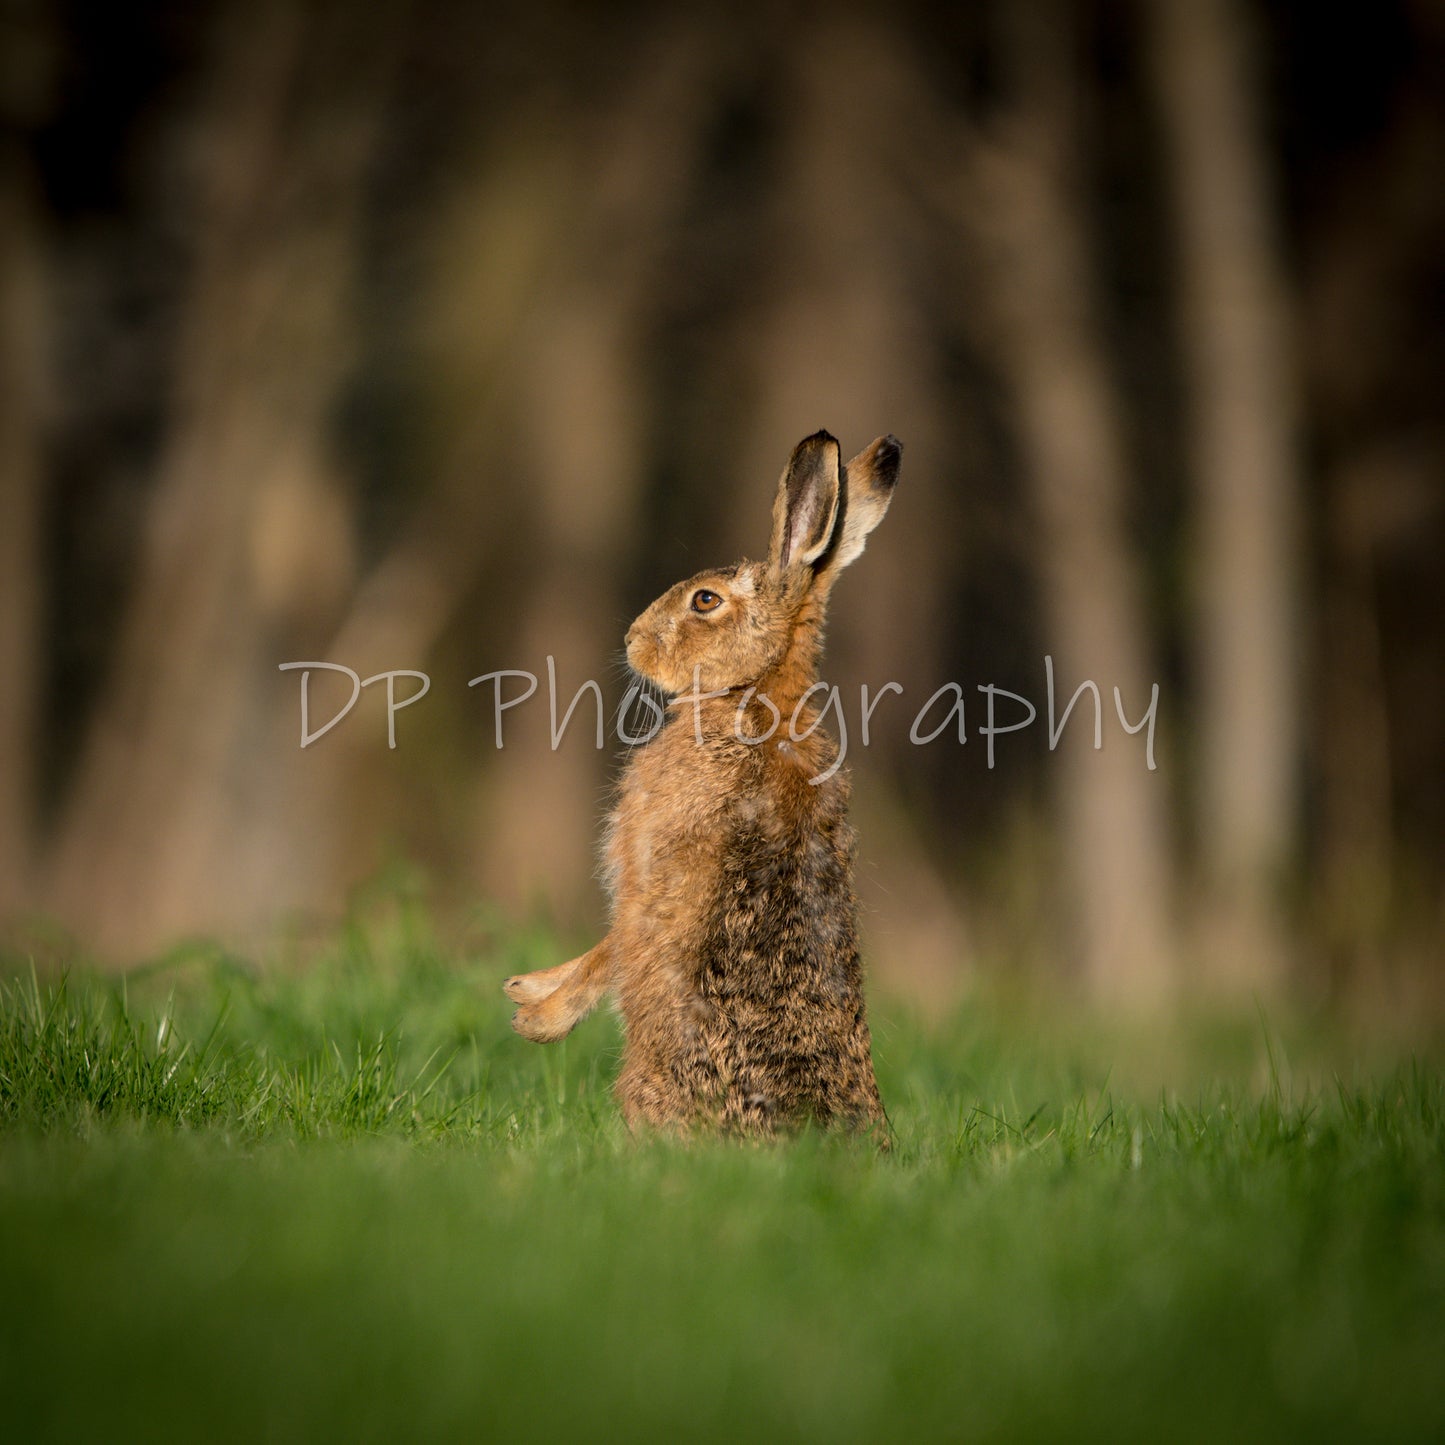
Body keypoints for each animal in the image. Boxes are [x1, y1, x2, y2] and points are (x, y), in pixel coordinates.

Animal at [503, 430, 900, 1138]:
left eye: (706, 601)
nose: (631, 639)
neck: (754, 694)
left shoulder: (641, 876)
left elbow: (613, 948)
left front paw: (535, 1017)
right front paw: (527, 989)